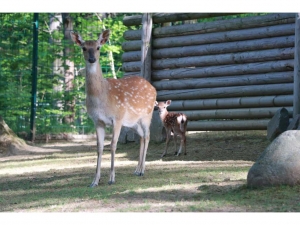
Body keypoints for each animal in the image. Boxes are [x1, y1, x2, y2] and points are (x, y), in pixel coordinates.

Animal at [71, 30, 157, 188]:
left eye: (98, 47)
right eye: (84, 48)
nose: (92, 59)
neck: (101, 97)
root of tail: (153, 88)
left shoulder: (117, 118)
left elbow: (112, 145)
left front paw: (111, 178)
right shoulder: (97, 121)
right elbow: (99, 147)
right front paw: (95, 181)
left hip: (147, 115)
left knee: (147, 136)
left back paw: (142, 170)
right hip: (133, 122)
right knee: (142, 136)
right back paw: (136, 170)